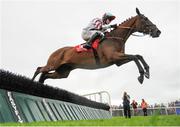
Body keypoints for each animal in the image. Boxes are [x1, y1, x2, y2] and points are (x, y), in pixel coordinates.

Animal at [31, 7, 161, 84]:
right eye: (145, 19)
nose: (158, 31)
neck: (115, 38)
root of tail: (55, 52)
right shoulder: (114, 56)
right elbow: (134, 56)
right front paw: (141, 76)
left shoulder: (118, 61)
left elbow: (138, 56)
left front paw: (147, 72)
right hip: (53, 64)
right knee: (39, 69)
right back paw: (31, 83)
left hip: (63, 72)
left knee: (45, 75)